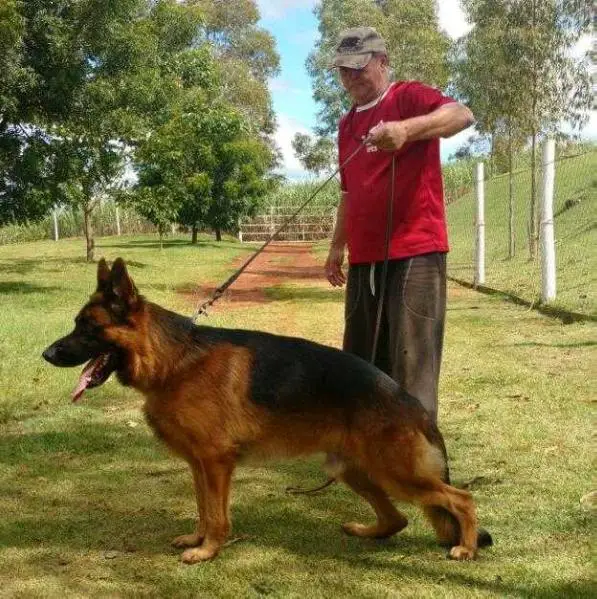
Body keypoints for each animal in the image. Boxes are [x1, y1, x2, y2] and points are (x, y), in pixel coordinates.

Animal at [40, 260, 488, 564]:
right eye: (76, 324)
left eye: (87, 328)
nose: (45, 354)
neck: (175, 360)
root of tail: (413, 405)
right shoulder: (199, 464)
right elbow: (203, 509)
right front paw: (197, 540)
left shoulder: (216, 462)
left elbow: (216, 515)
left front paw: (208, 551)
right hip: (353, 471)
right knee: (398, 520)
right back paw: (368, 531)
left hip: (395, 473)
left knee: (462, 498)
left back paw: (465, 547)